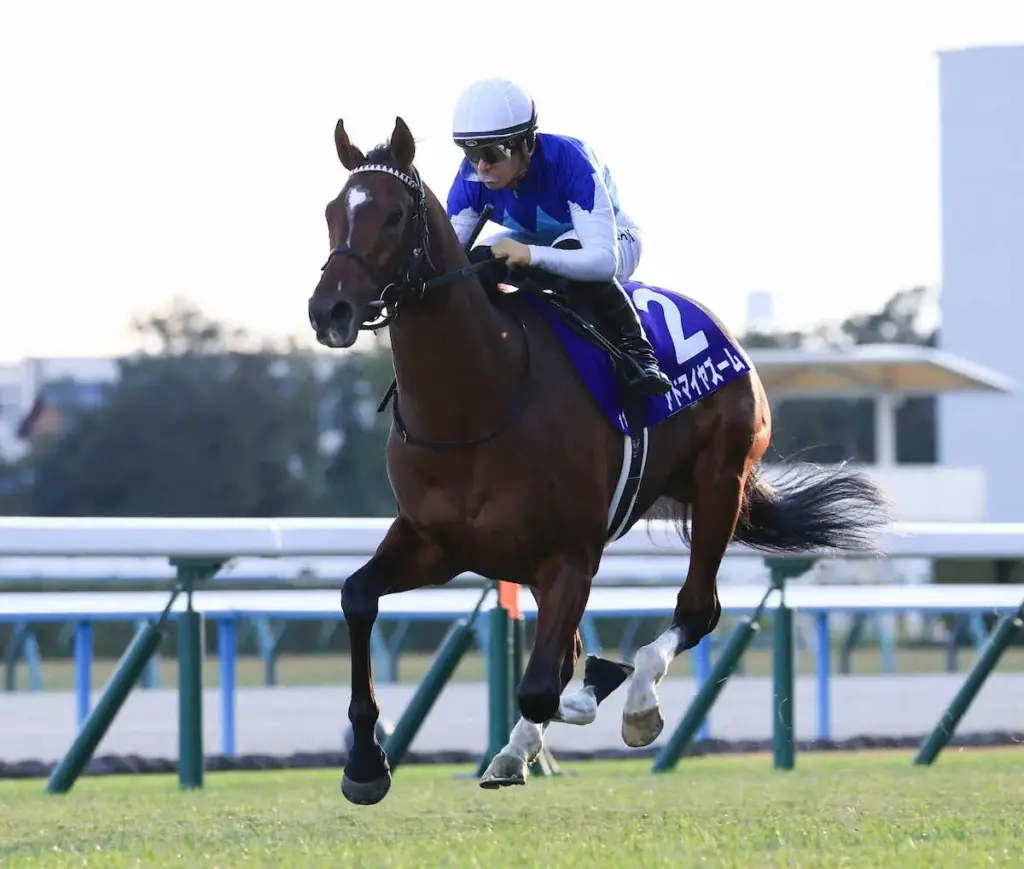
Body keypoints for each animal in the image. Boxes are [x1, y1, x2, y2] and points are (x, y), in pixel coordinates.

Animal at [308, 116, 890, 807]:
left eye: (394, 216)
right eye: (331, 212)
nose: (328, 311)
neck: (478, 401)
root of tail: (725, 333)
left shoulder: (571, 555)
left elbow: (542, 684)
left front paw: (594, 693)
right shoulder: (438, 542)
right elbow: (358, 597)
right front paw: (366, 761)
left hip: (719, 483)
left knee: (697, 610)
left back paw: (636, 700)